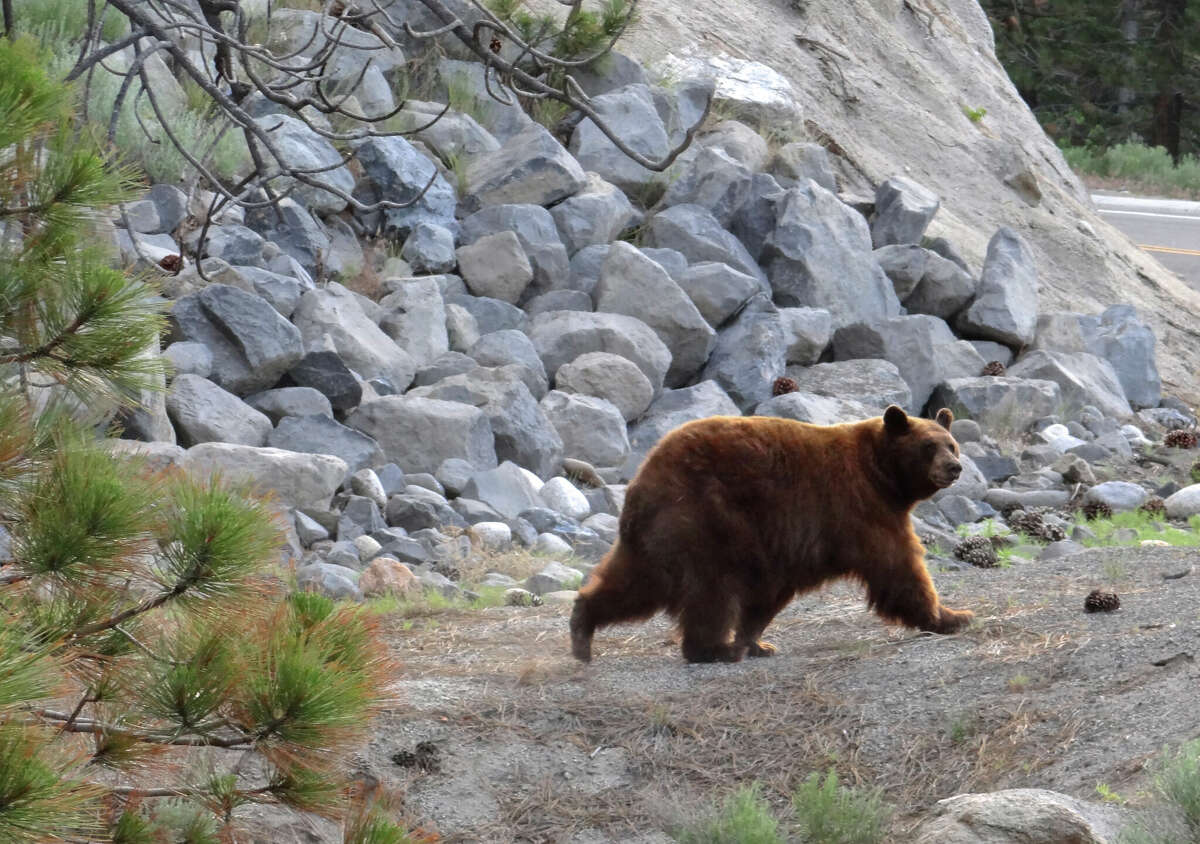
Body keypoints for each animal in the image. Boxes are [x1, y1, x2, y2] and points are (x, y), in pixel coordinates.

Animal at [571, 405, 974, 662]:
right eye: (928, 446)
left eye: (952, 444)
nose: (954, 467)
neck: (884, 477)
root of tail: (642, 478)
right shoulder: (859, 508)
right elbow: (899, 567)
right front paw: (953, 615)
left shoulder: (785, 544)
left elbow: (767, 596)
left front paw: (757, 642)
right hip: (704, 519)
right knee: (710, 592)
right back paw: (714, 650)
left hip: (661, 536)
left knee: (636, 583)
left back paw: (582, 629)